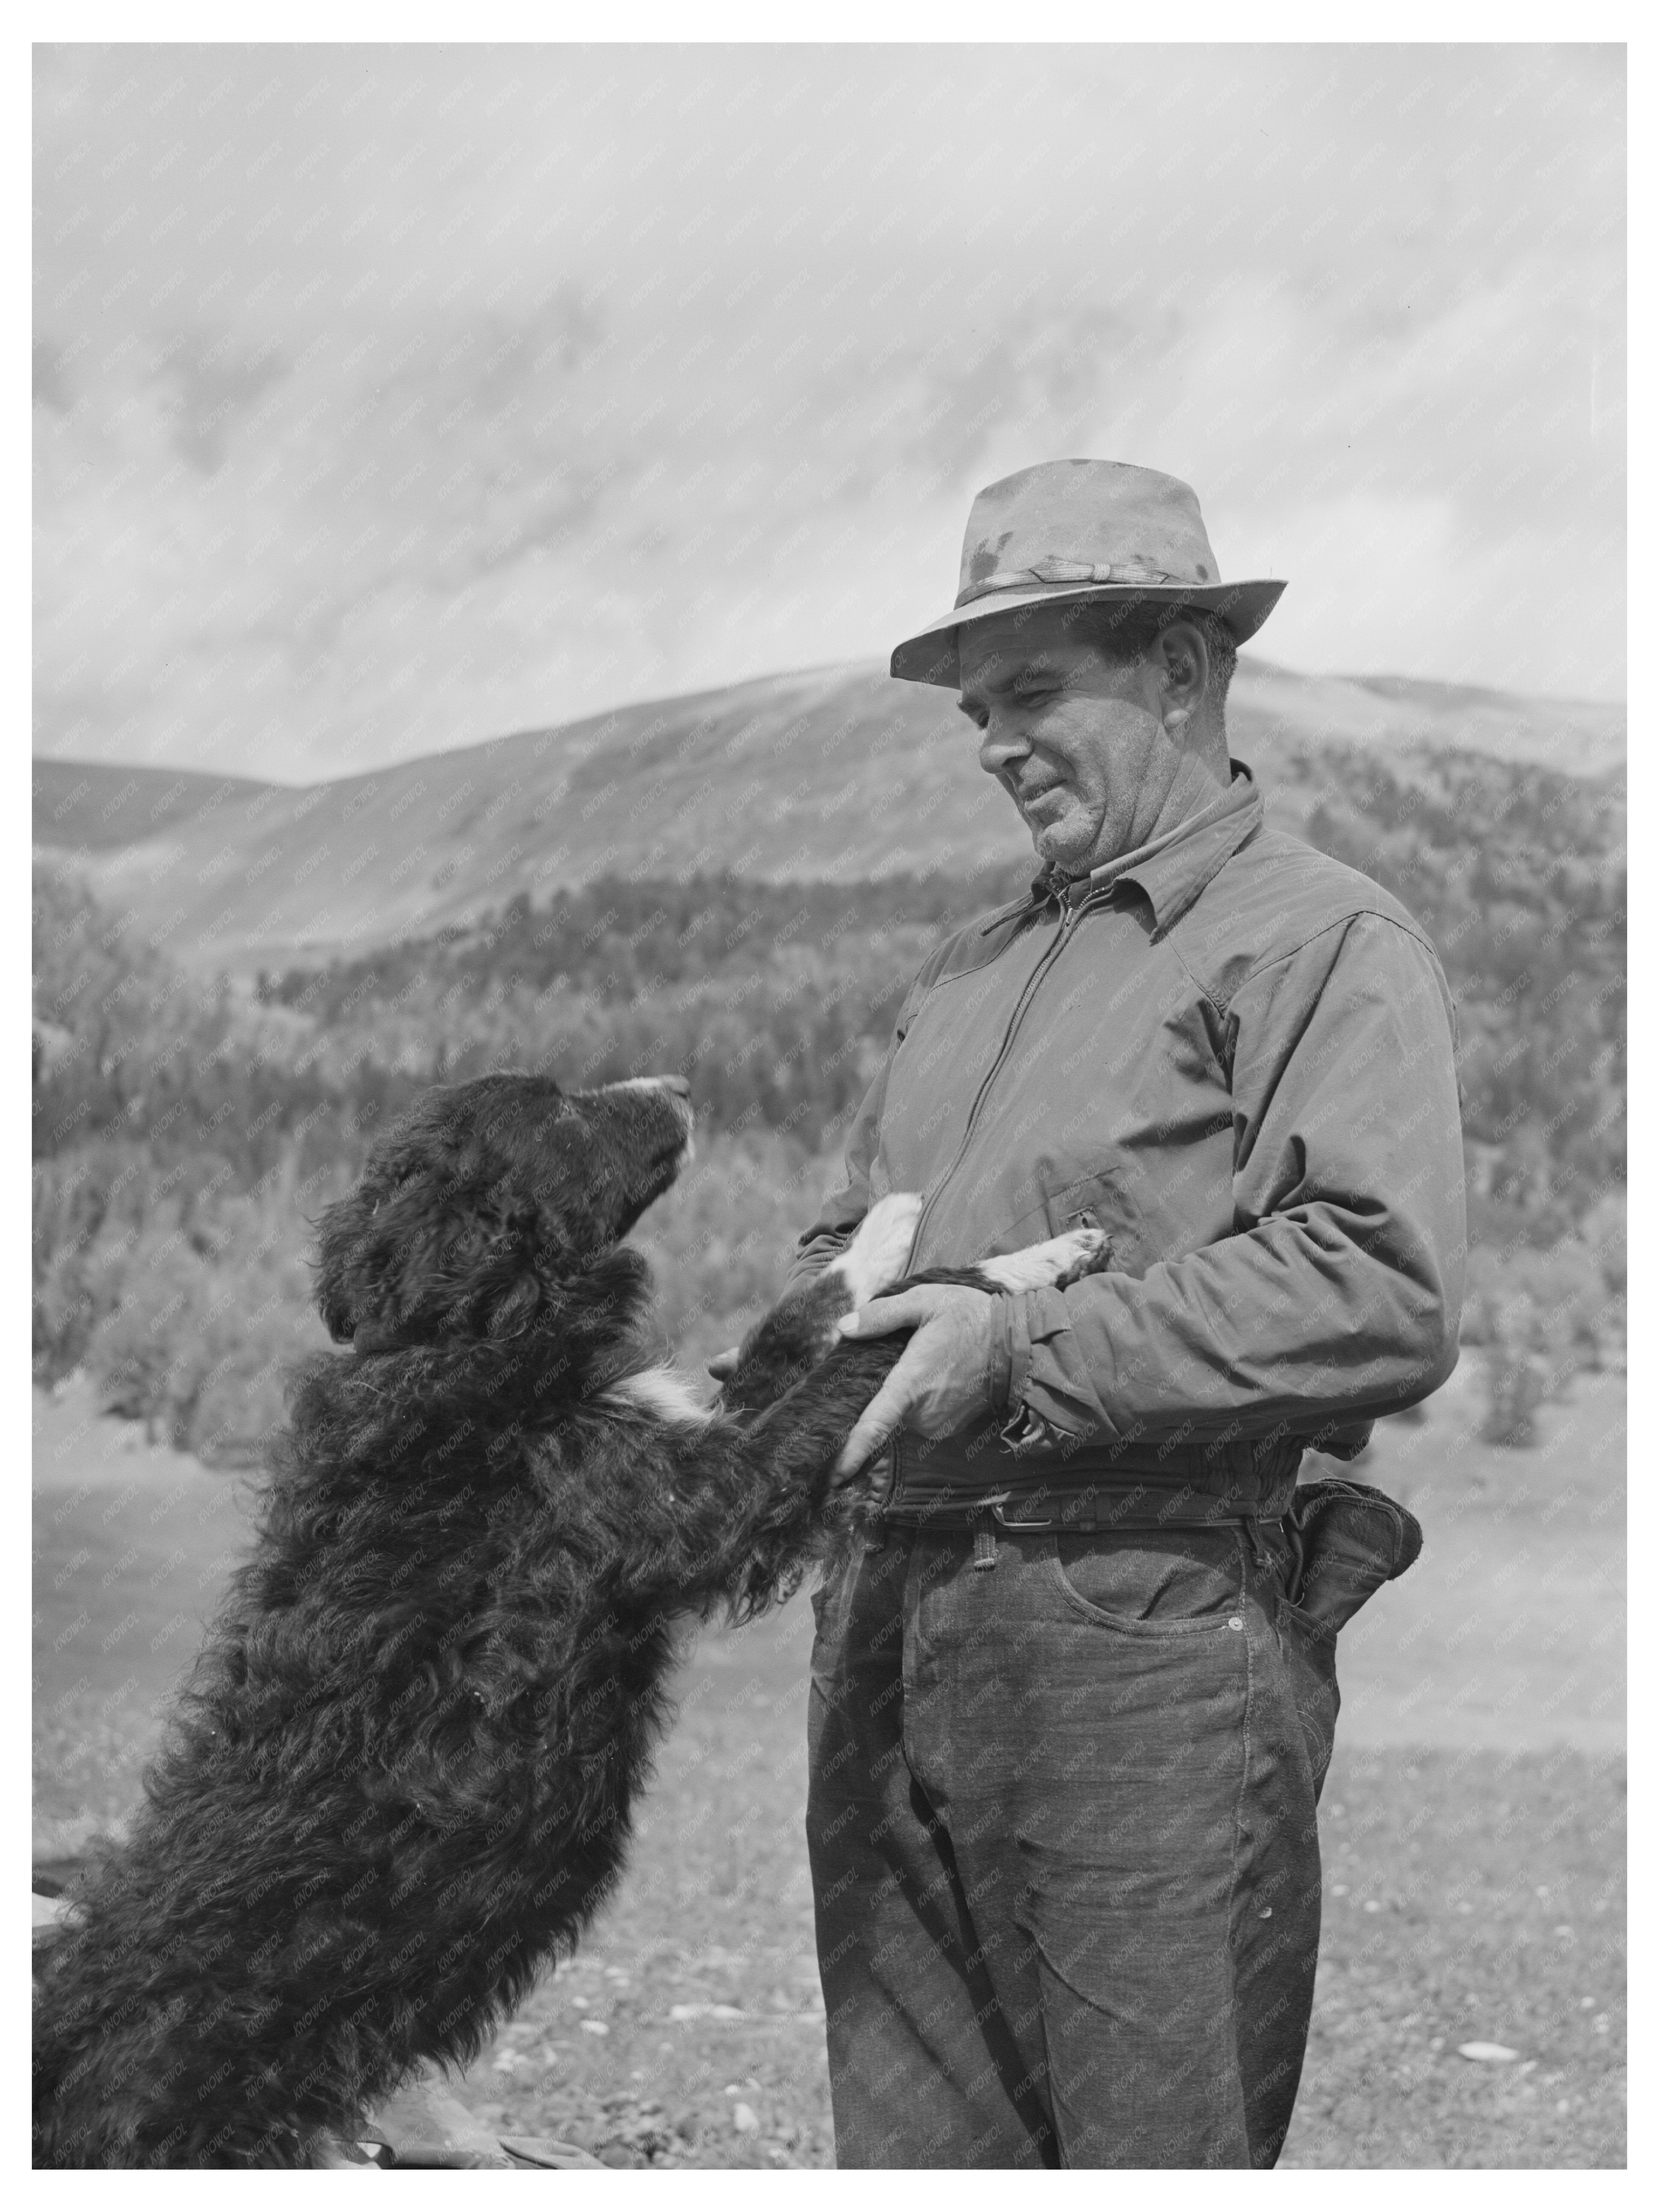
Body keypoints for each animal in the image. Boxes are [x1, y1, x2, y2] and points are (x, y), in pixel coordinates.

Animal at [32, 1071, 1110, 2159]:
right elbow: (870, 1353)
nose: (679, 1084)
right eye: (553, 1108)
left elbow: (799, 1324)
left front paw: (908, 1235)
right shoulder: (710, 1495)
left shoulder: (697, 1430)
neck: (466, 1337)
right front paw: (1005, 1267)